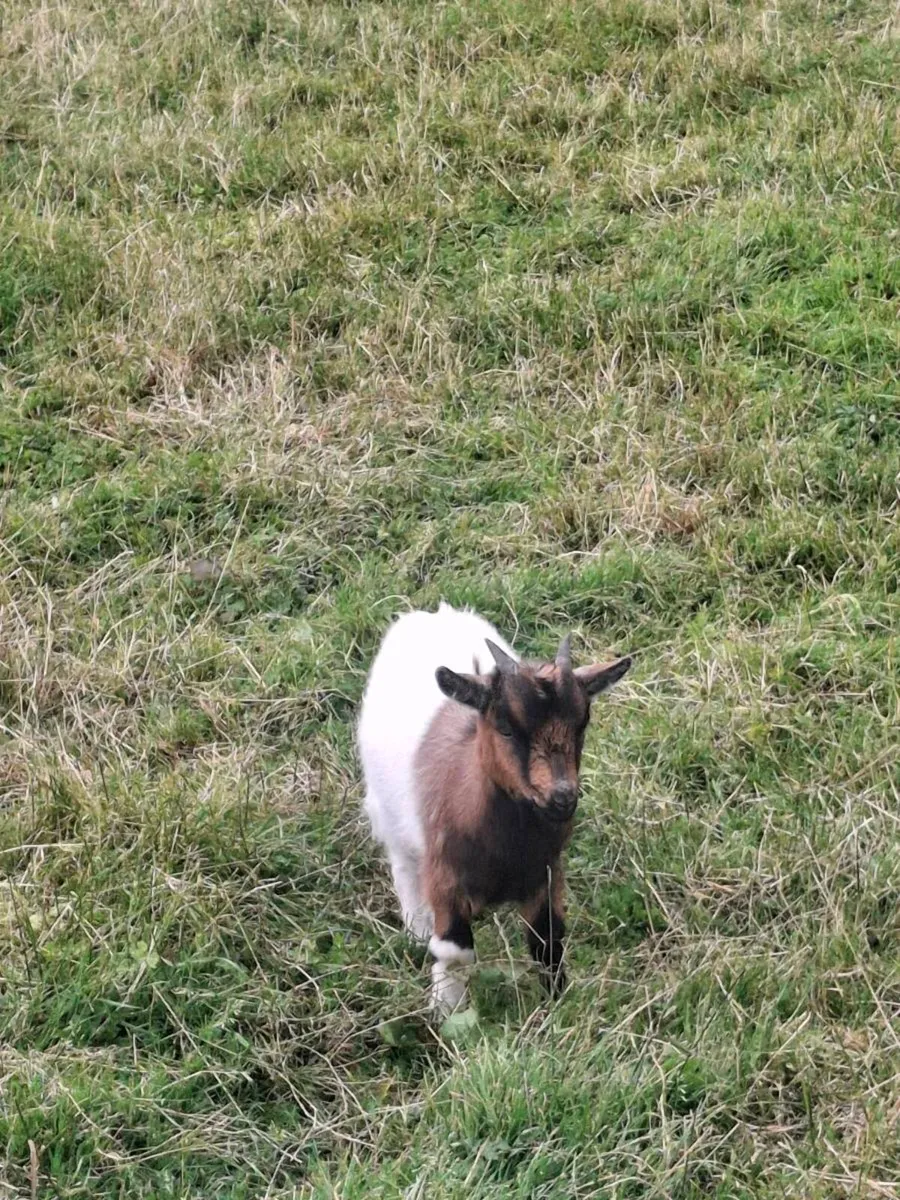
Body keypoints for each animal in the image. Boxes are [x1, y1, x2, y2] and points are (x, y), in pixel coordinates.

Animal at [357, 602, 630, 1014]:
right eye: (505, 727)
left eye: (582, 722)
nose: (562, 797)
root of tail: (431, 613)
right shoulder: (444, 875)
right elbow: (454, 951)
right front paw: (446, 1008)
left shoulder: (545, 873)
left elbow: (547, 941)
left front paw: (556, 1003)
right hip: (390, 817)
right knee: (403, 866)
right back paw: (416, 932)